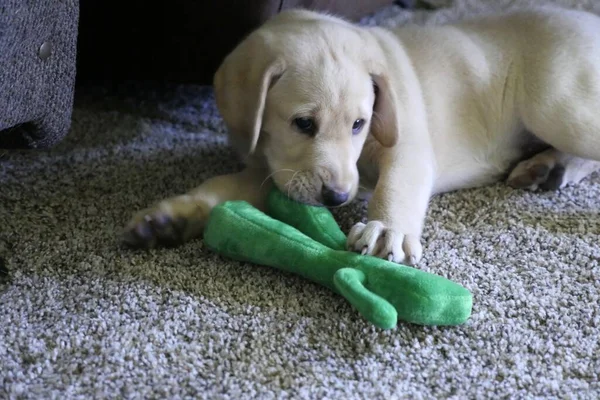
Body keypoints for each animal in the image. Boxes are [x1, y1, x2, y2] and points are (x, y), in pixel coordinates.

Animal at [122, 6, 600, 266]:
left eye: (359, 124)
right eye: (303, 124)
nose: (336, 198)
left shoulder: (407, 146)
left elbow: (397, 185)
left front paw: (387, 228)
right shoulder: (271, 169)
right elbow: (222, 186)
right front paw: (168, 220)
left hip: (556, 105)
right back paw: (549, 167)